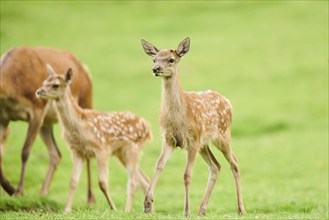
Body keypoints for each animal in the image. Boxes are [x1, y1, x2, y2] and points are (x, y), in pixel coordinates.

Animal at [0, 46, 95, 203]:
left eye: (55, 85)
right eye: (43, 82)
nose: (38, 91)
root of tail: (85, 69)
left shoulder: (37, 111)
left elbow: (25, 152)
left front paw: (18, 191)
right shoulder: (4, 117)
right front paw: (10, 189)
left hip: (86, 101)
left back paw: (90, 198)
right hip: (46, 123)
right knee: (56, 153)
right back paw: (43, 193)